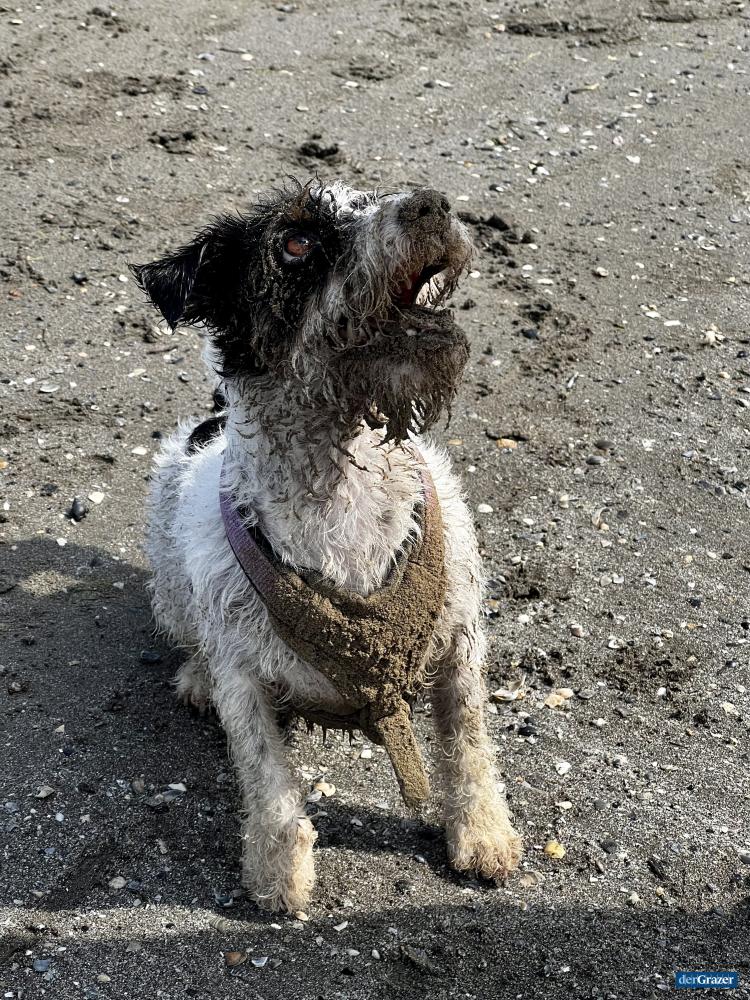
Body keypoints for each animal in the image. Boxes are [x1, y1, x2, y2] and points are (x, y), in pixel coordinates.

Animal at [132, 180, 521, 912]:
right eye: (296, 240)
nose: (431, 203)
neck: (340, 487)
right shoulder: (245, 680)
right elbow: (269, 779)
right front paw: (279, 871)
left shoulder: (459, 643)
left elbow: (470, 744)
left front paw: (483, 832)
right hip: (169, 583)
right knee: (188, 635)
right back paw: (194, 676)